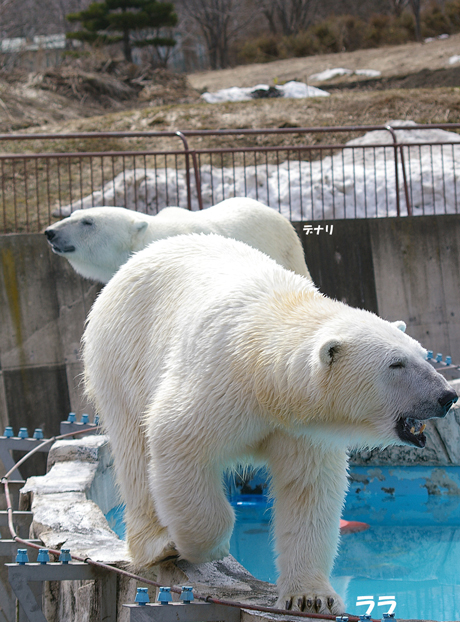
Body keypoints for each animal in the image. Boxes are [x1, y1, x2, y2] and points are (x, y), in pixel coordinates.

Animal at [82, 235, 456, 620]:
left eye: (422, 354)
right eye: (396, 364)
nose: (446, 395)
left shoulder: (303, 428)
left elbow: (309, 490)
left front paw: (310, 597)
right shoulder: (217, 385)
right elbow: (177, 440)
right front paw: (206, 547)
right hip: (121, 357)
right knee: (134, 450)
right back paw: (157, 544)